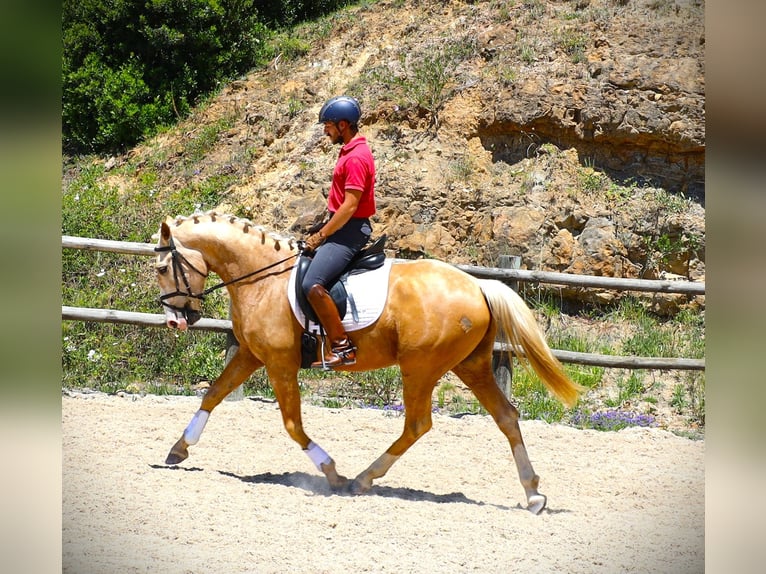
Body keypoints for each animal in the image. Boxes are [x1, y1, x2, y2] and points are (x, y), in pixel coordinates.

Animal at [154, 213, 584, 516]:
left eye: (161, 269)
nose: (176, 321)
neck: (262, 279)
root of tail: (478, 284)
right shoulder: (250, 354)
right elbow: (214, 393)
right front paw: (178, 449)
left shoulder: (279, 362)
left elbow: (292, 425)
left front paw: (331, 472)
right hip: (470, 366)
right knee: (506, 416)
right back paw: (533, 494)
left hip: (420, 367)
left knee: (417, 425)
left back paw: (361, 480)